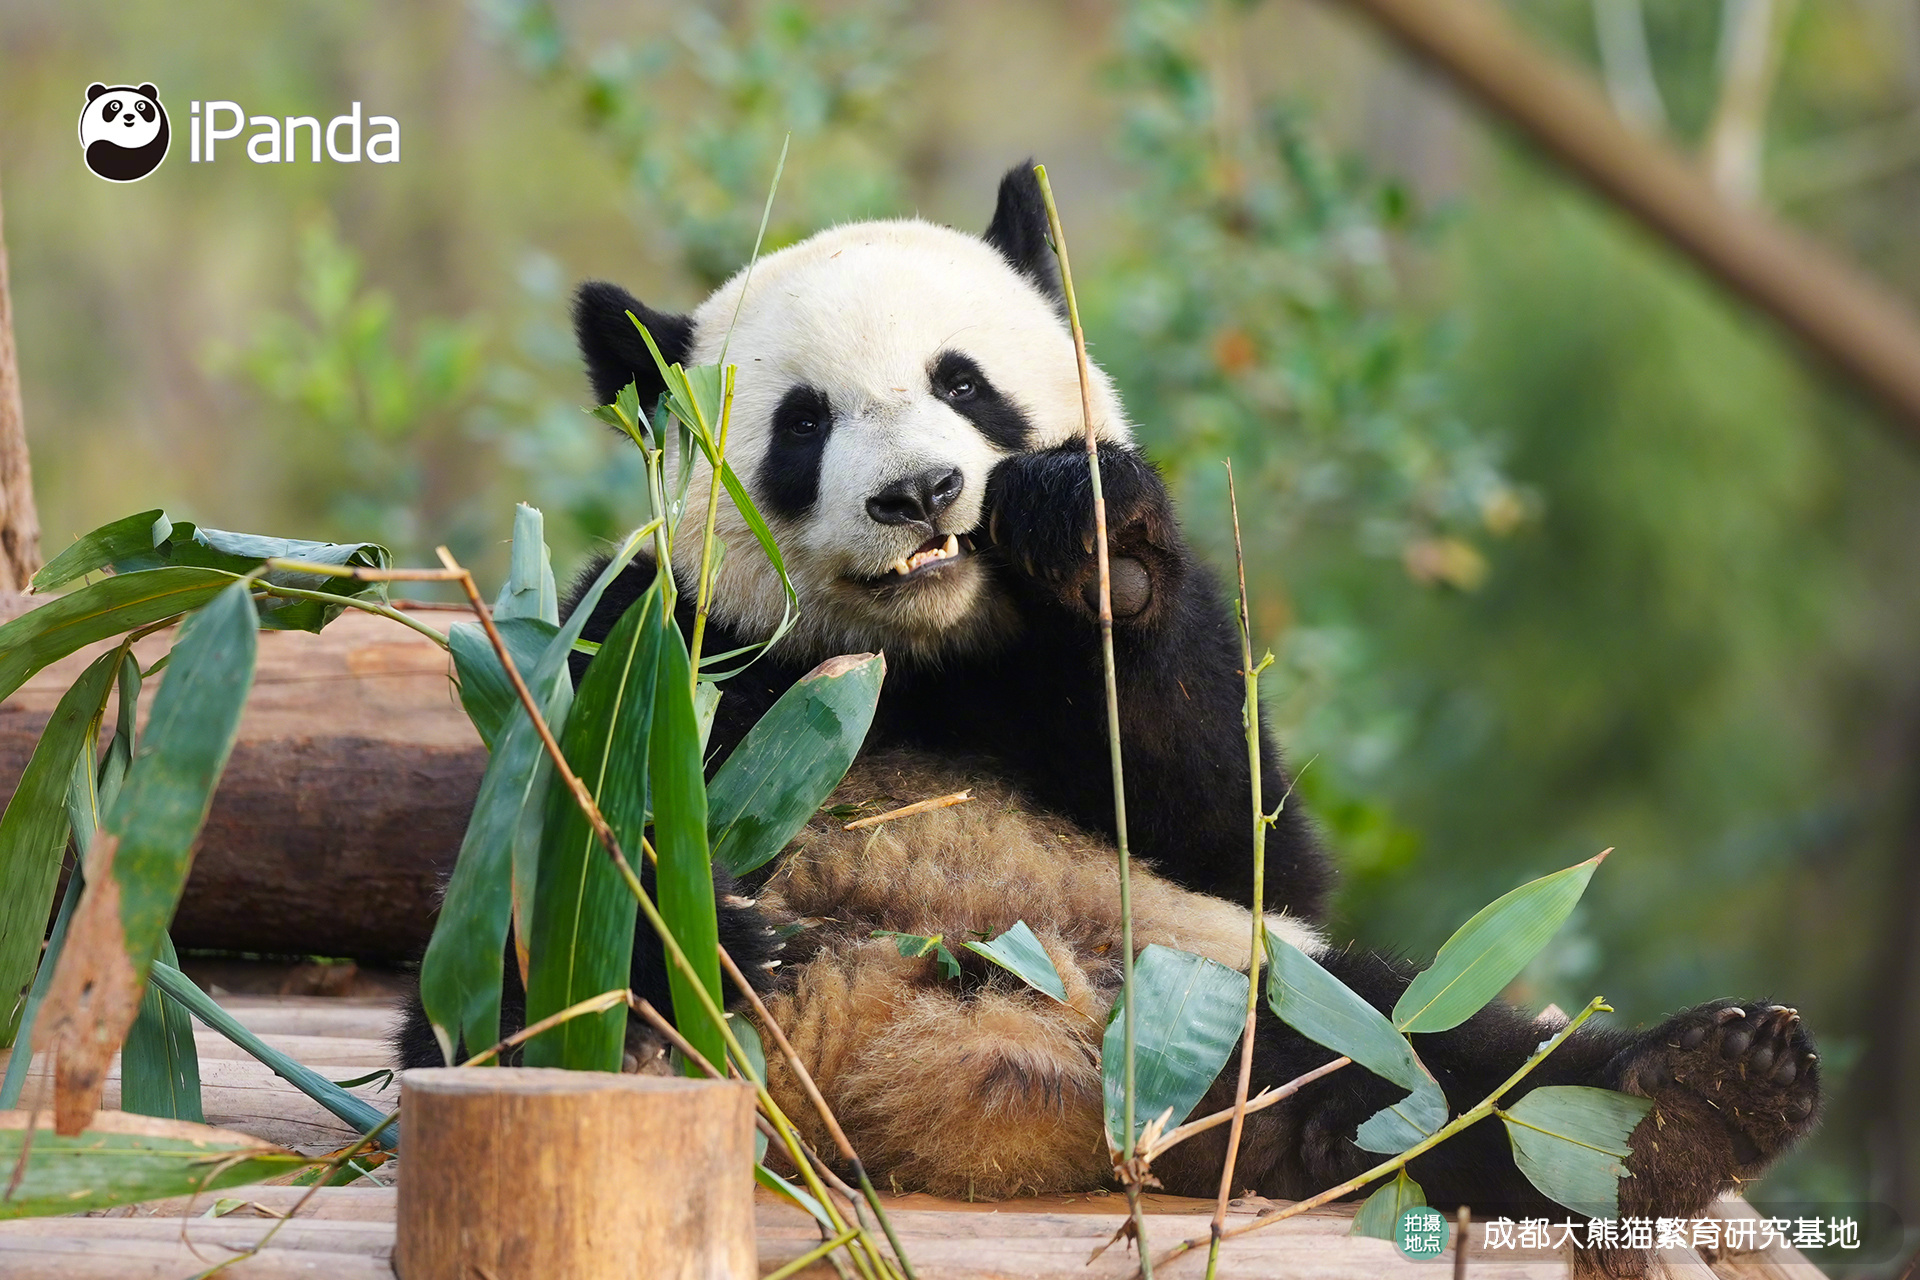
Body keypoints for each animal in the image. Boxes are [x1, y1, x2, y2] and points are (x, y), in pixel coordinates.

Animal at [398, 163, 1820, 1225]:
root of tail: (982, 1089)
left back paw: (1697, 1097)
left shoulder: (1157, 764)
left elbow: (1242, 834)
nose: (919, 493)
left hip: (1220, 979)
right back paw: (699, 981)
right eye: (801, 424)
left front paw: (1099, 552)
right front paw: (709, 918)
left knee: (1430, 1057)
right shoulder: (651, 649)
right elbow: (532, 870)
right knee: (530, 1010)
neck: (919, 663)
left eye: (963, 381)